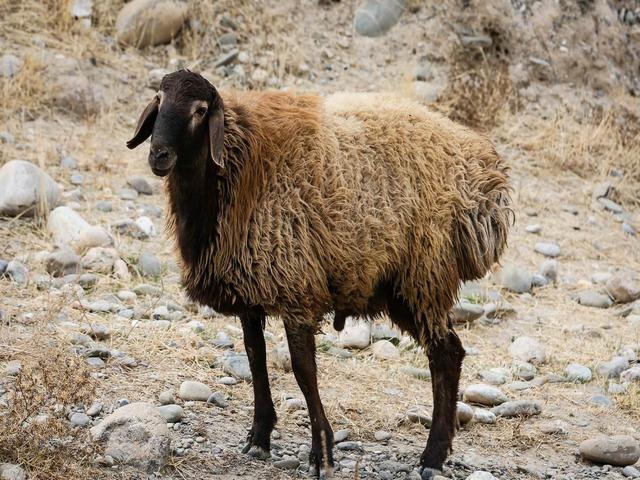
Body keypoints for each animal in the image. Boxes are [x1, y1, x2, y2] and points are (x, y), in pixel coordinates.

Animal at [127, 69, 511, 479]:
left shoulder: (297, 287)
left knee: (445, 355)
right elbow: (255, 356)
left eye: (200, 110)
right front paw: (259, 437)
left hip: (424, 277)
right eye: (159, 99)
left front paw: (322, 452)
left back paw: (432, 456)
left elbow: (303, 371)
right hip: (403, 288)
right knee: (448, 351)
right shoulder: (251, 289)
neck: (236, 166)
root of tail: (485, 174)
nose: (159, 155)